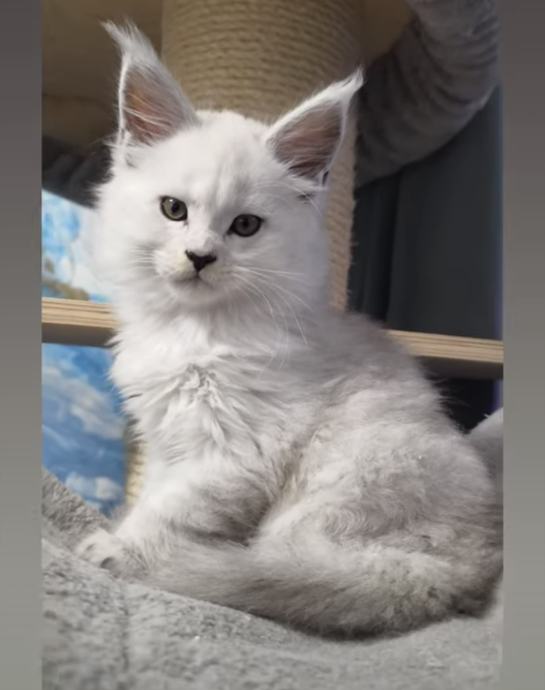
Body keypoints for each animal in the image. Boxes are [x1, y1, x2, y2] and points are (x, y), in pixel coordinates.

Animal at [76, 22, 502, 636]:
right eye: (174, 210)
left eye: (245, 226)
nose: (200, 257)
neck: (195, 331)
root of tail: (459, 568)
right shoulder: (167, 441)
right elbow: (155, 493)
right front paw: (121, 533)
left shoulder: (239, 450)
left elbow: (168, 512)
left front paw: (120, 549)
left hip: (348, 475)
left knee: (286, 565)